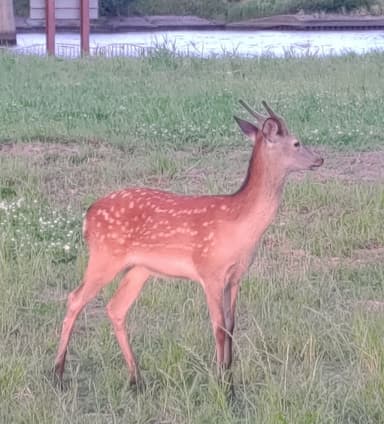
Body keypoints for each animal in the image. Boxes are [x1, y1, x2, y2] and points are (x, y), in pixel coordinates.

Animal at [53, 100, 324, 388]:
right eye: (296, 143)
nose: (320, 158)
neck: (240, 226)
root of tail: (88, 215)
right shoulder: (210, 271)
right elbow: (218, 327)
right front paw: (222, 385)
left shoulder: (236, 276)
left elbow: (232, 325)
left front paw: (230, 377)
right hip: (105, 256)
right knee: (75, 298)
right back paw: (58, 372)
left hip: (139, 268)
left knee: (116, 308)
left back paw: (137, 378)